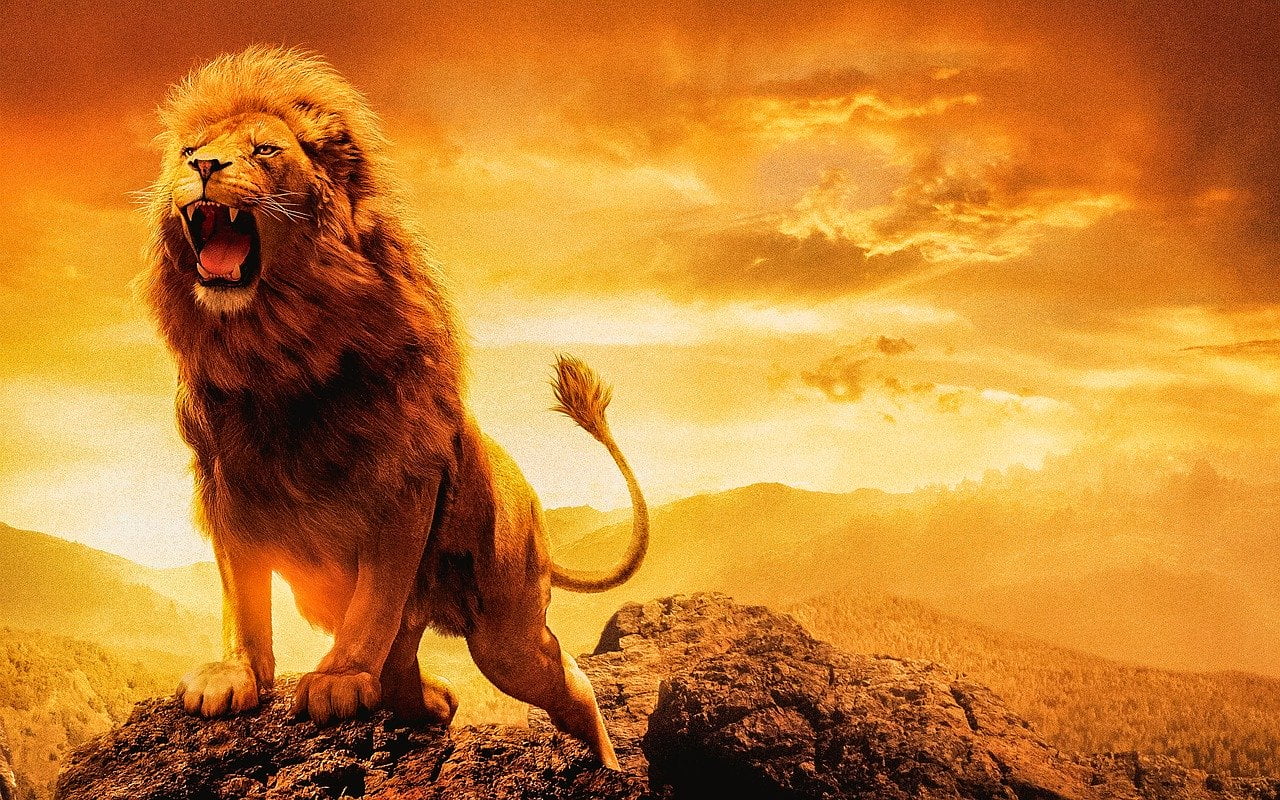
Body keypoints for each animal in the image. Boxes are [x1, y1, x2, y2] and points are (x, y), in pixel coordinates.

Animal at [138, 47, 648, 770]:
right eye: (188, 151)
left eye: (265, 150)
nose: (205, 168)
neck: (275, 346)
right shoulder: (228, 482)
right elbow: (243, 595)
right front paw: (236, 675)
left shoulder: (402, 481)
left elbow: (374, 596)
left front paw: (339, 678)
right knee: (408, 663)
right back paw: (431, 704)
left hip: (507, 630)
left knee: (566, 680)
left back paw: (608, 762)